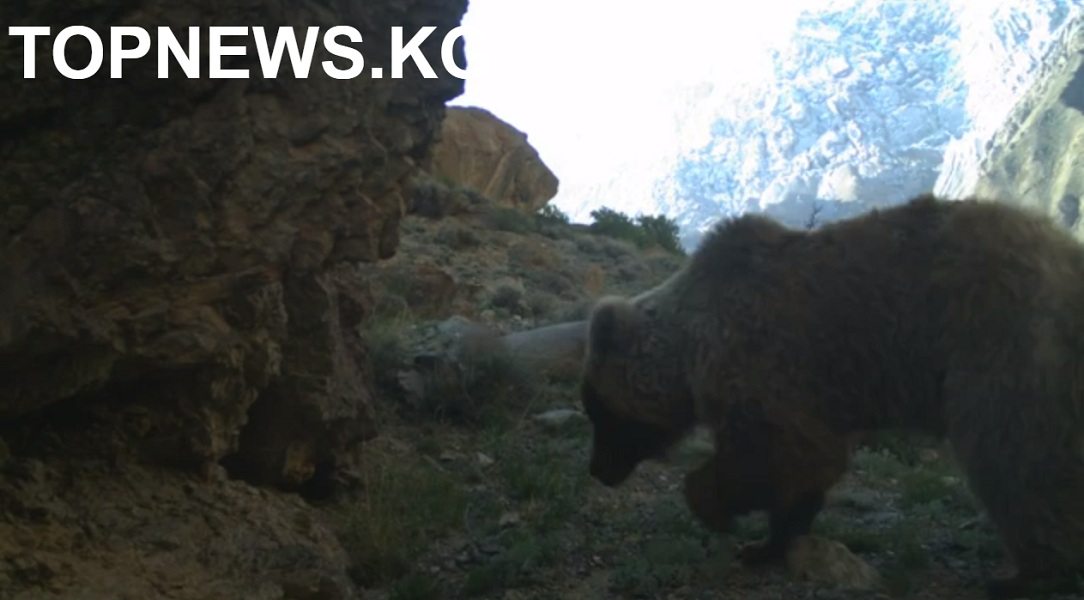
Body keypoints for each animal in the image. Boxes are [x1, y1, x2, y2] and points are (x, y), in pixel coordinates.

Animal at [581, 193, 1084, 593]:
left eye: (597, 411)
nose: (597, 470)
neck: (688, 351)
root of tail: (1066, 252)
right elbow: (803, 471)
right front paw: (765, 543)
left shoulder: (760, 362)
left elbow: (777, 453)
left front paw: (715, 509)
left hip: (1000, 342)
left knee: (1013, 457)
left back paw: (1027, 573)